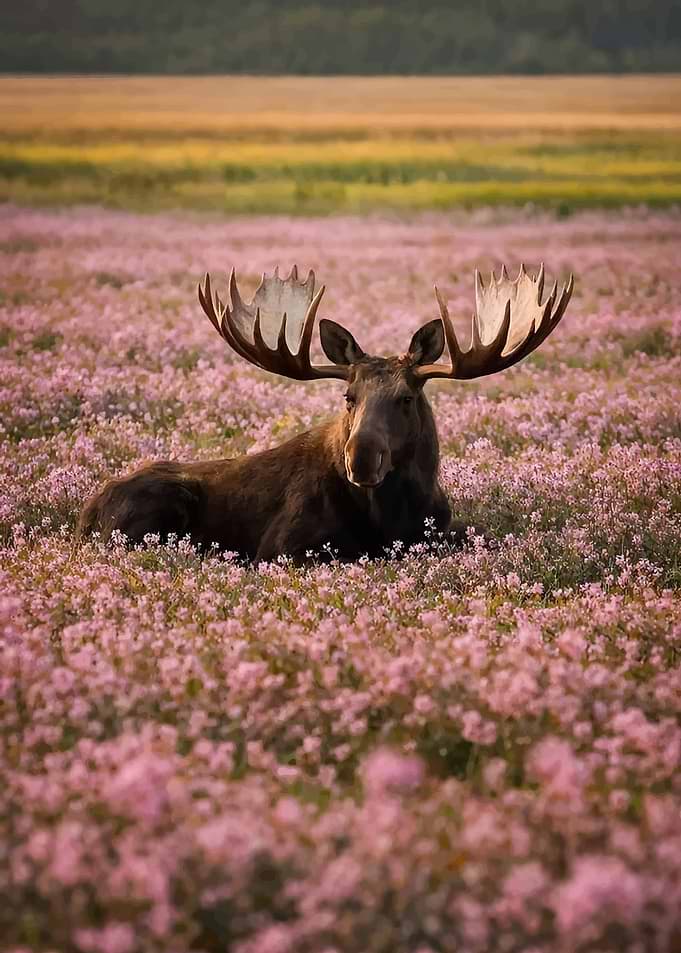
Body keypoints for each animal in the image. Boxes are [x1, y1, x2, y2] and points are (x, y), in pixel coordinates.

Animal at [77, 263, 573, 562]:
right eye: (348, 397)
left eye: (406, 398)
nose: (362, 458)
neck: (391, 518)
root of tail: (86, 511)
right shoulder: (282, 546)